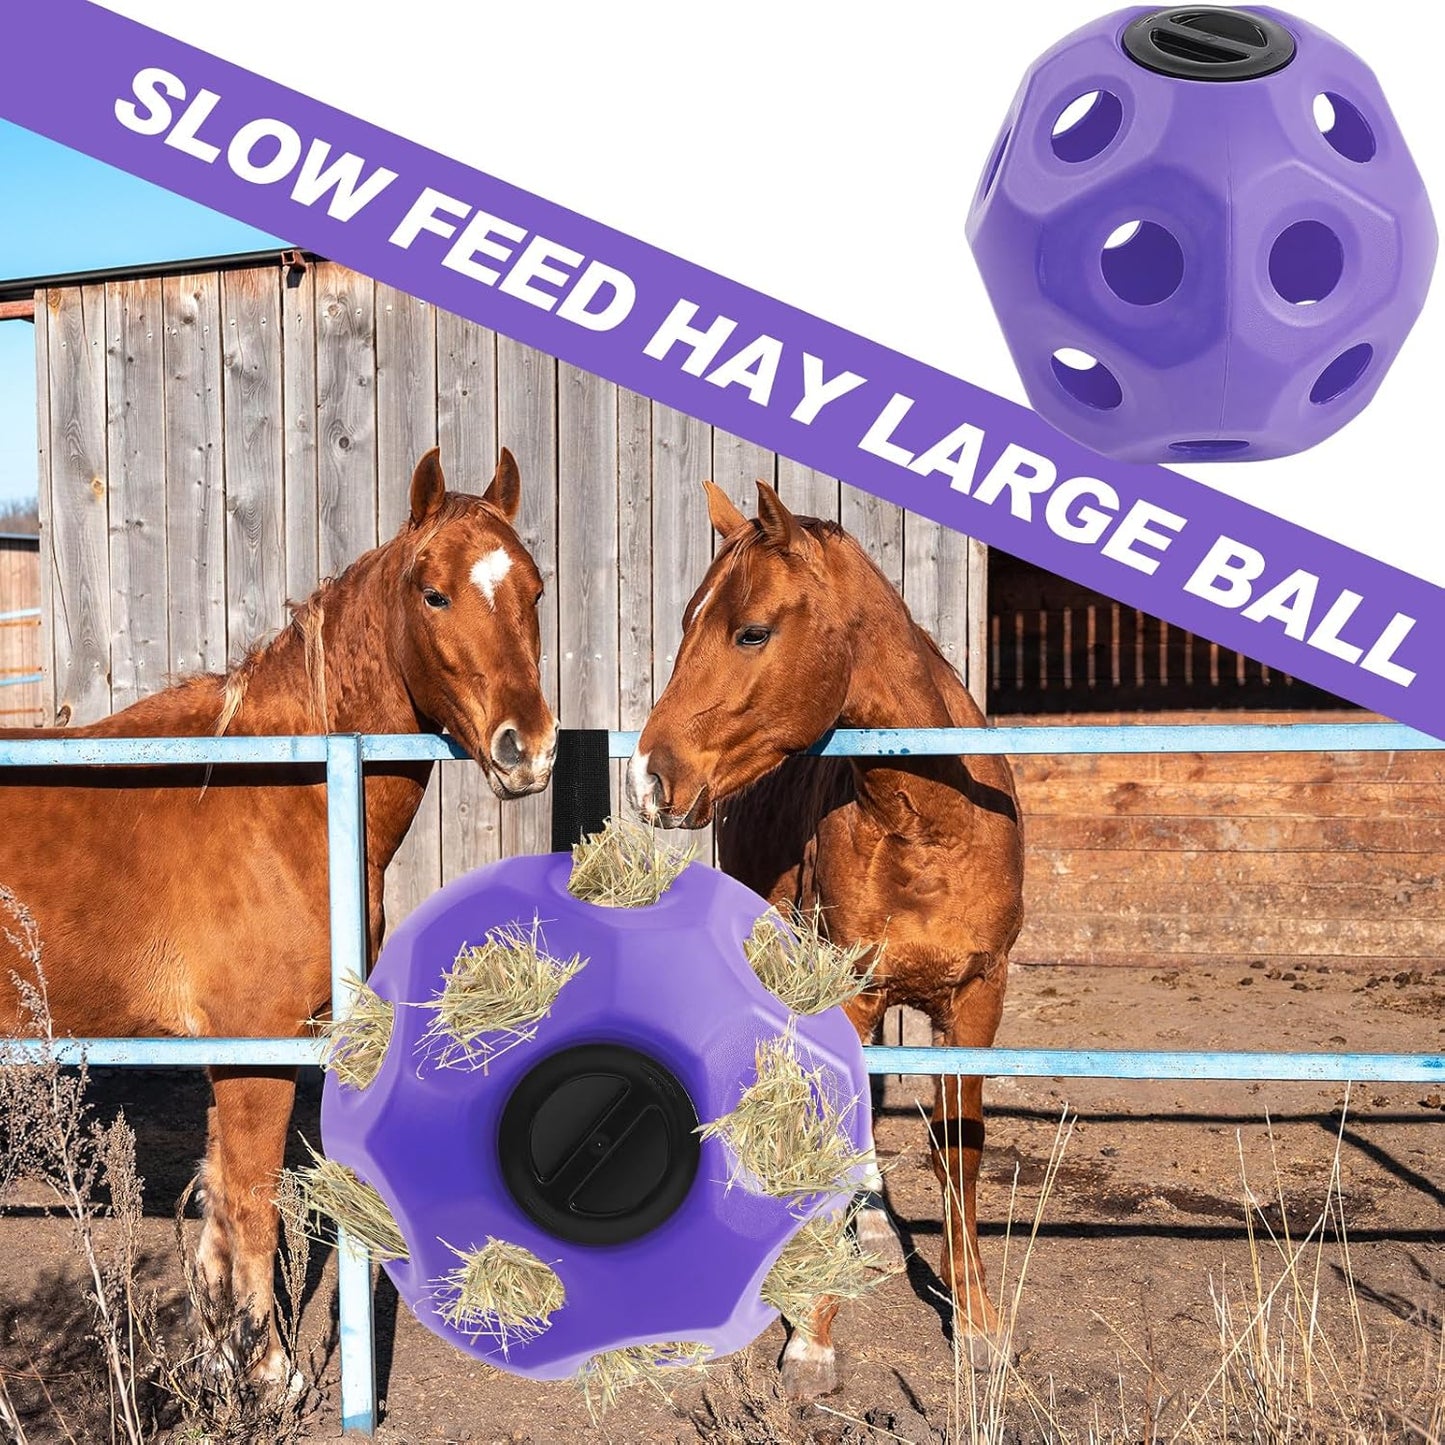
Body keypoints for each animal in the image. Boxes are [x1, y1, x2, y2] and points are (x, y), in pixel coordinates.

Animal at [0, 447, 556, 1383]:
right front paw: (268, 1368)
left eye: (533, 588)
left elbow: (223, 1203)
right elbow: (253, 1203)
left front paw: (222, 1353)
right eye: (432, 593)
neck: (273, 785)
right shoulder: (259, 1041)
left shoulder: (234, 1048)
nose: (530, 749)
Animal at [627, 480, 1024, 1400]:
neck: (930, 821)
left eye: (750, 631)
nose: (648, 778)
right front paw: (812, 1336)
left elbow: (960, 1154)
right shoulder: (847, 989)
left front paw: (978, 1326)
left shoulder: (977, 997)